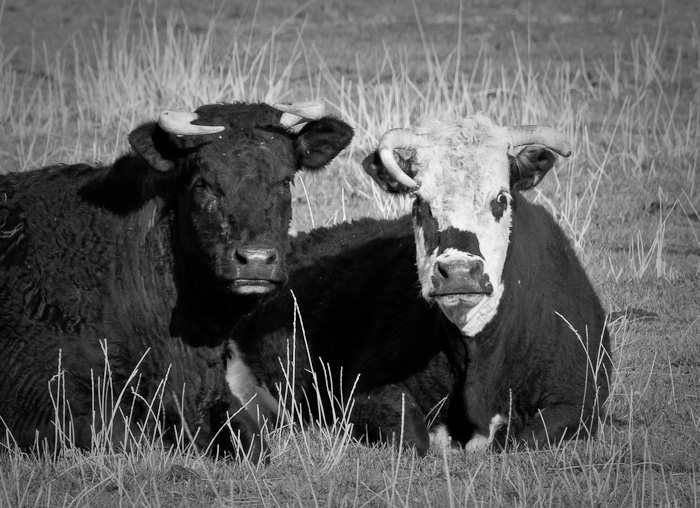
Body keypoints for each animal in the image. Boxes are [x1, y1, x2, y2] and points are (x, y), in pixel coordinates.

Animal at [0, 100, 350, 460]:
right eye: (202, 184)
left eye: (285, 180)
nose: (255, 260)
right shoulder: (45, 400)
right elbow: (124, 437)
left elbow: (253, 441)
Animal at [228, 113, 608, 454]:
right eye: (420, 203)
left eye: (500, 198)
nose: (458, 272)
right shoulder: (363, 391)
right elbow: (416, 436)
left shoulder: (580, 401)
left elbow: (524, 439)